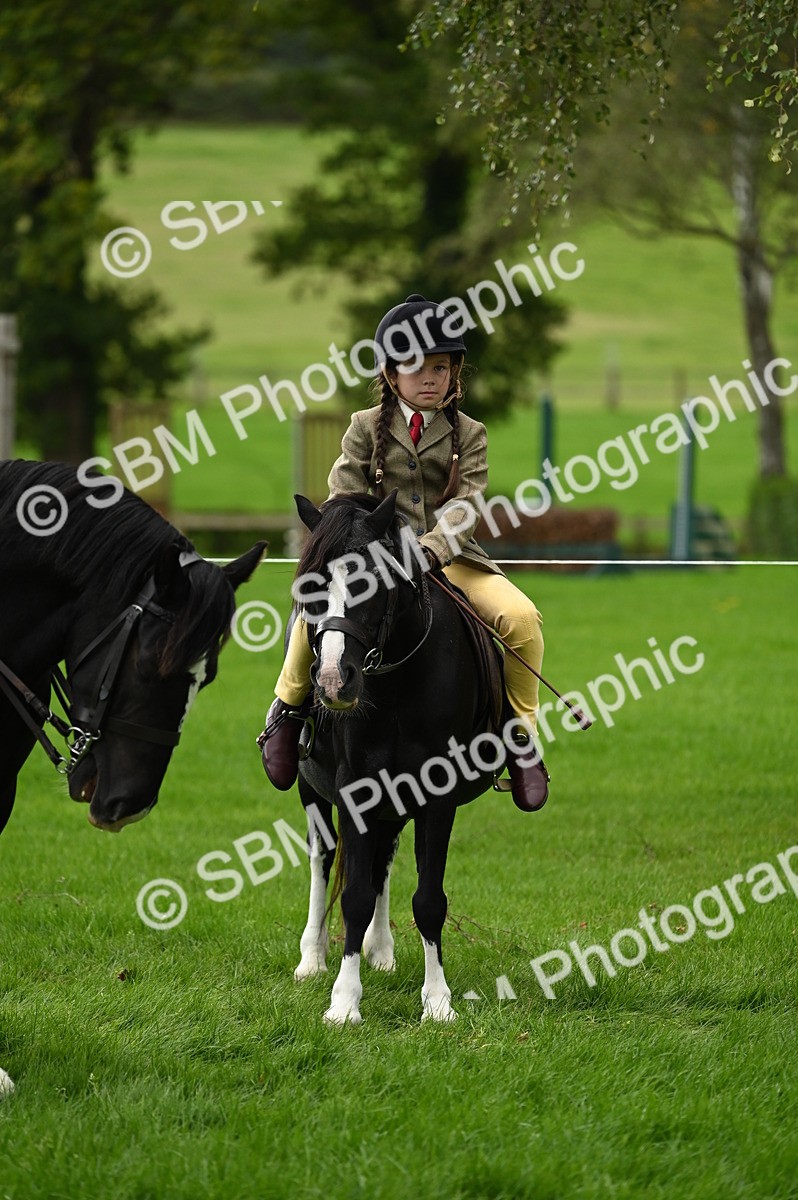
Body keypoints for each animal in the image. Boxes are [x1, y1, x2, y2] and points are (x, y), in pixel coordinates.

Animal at [286, 490, 520, 1025]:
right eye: (310, 586)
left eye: (368, 582)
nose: (333, 681)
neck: (395, 682)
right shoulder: (354, 790)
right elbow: (353, 895)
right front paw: (344, 1001)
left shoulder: (436, 792)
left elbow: (428, 899)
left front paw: (437, 1001)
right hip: (313, 789)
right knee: (323, 859)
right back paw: (312, 958)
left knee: (384, 860)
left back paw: (381, 950)